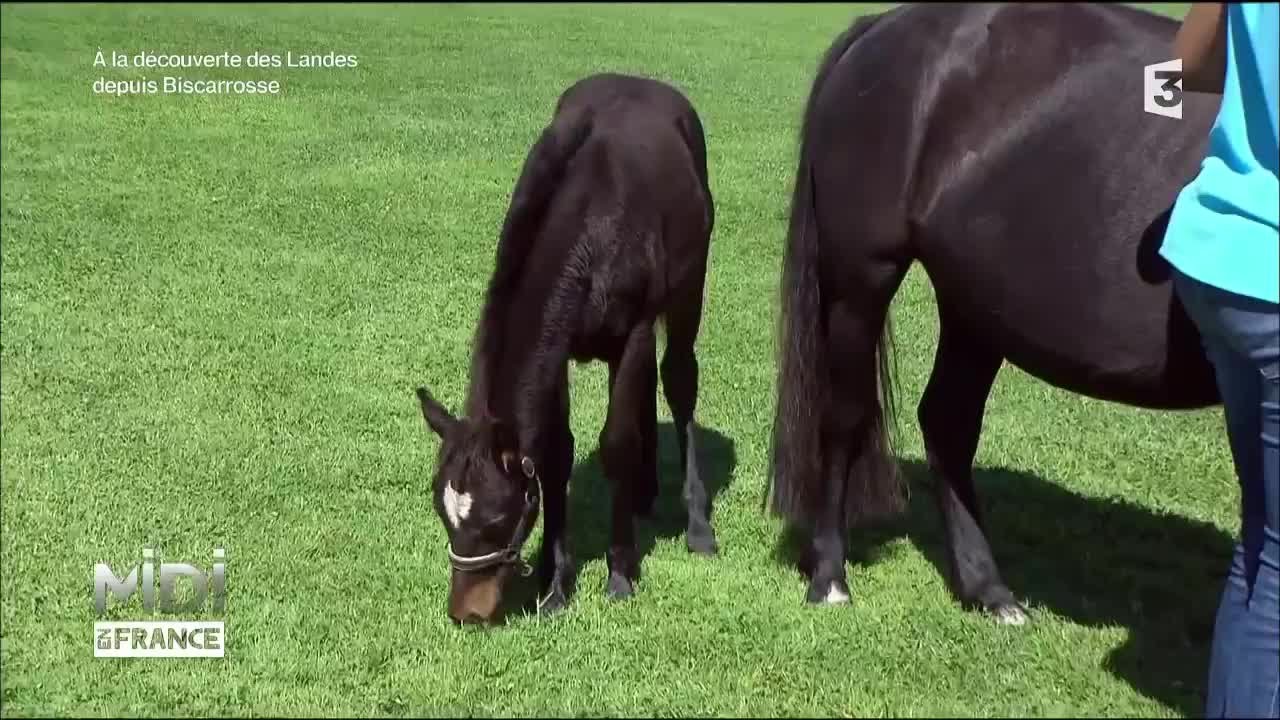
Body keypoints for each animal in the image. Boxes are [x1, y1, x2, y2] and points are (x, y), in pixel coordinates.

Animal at [415, 72, 718, 625]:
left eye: (496, 518)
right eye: (442, 513)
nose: (466, 612)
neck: (593, 227)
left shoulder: (635, 331)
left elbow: (617, 443)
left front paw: (619, 574)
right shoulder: (555, 353)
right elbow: (555, 452)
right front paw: (555, 586)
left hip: (688, 293)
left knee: (679, 382)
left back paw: (696, 525)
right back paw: (644, 495)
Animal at [767, 2, 1224, 625]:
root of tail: (883, 26)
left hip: (975, 305)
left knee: (947, 421)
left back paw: (987, 589)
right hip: (863, 282)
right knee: (845, 417)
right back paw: (831, 577)